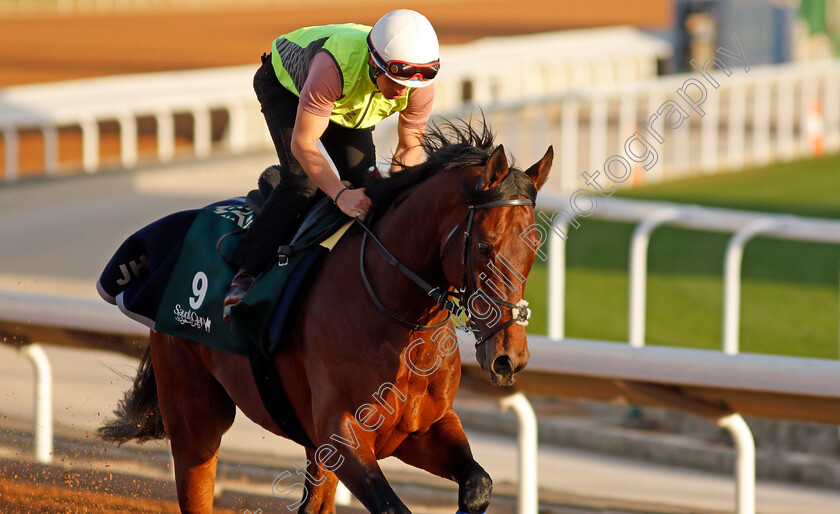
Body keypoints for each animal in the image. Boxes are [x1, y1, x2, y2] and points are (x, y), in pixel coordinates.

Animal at [100, 121, 552, 512]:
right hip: (195, 413)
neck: (396, 315)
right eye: (486, 247)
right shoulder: (344, 435)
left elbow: (479, 484)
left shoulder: (419, 429)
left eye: (534, 246)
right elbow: (394, 508)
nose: (509, 358)